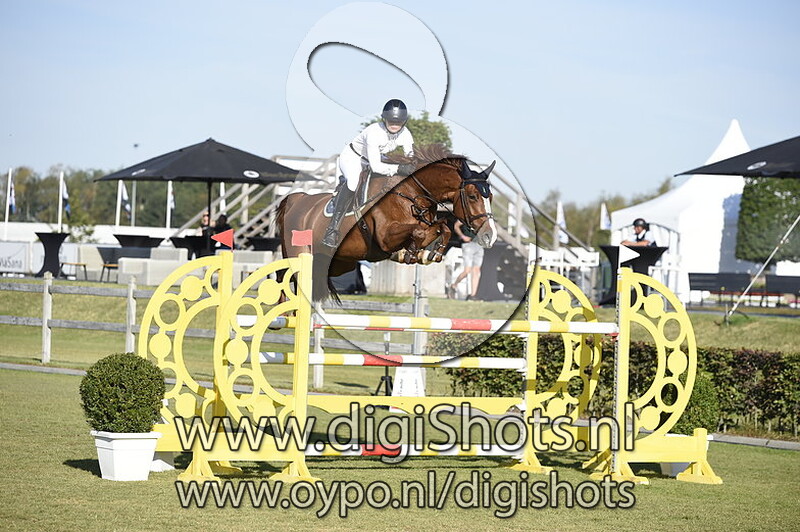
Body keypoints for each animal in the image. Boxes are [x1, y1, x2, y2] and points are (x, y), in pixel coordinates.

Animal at [277, 144, 497, 301]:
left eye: (491, 197)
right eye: (472, 197)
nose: (490, 236)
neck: (412, 194)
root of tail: (296, 199)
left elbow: (442, 228)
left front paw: (430, 253)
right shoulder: (385, 237)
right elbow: (418, 232)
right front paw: (410, 253)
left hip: (338, 263)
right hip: (298, 252)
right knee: (283, 274)